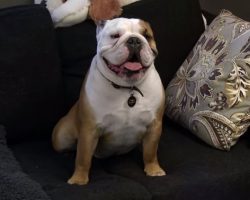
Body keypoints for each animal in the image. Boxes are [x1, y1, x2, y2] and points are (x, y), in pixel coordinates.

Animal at [52, 18, 166, 185]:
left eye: (147, 36)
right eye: (115, 36)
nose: (135, 40)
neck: (128, 88)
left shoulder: (154, 126)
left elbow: (150, 152)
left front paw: (153, 170)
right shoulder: (89, 130)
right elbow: (83, 157)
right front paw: (79, 179)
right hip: (61, 137)